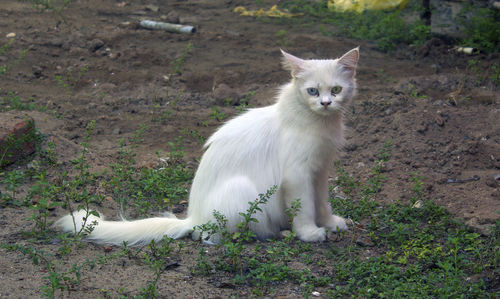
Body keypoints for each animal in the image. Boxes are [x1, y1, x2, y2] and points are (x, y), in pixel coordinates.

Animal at [55, 48, 360, 246]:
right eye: (312, 91)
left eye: (335, 90)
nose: (326, 103)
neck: (320, 124)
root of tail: (193, 217)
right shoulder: (297, 175)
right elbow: (305, 208)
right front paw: (309, 233)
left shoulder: (319, 171)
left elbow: (321, 203)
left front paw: (331, 223)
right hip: (243, 190)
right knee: (209, 236)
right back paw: (276, 233)